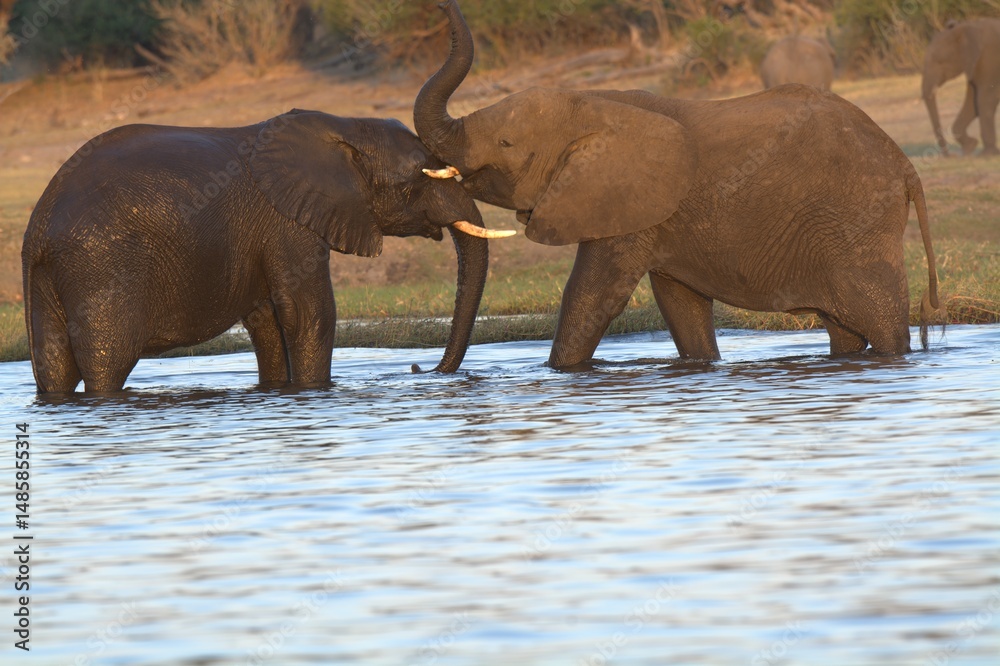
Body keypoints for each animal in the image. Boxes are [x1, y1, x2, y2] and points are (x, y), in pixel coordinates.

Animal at [22, 109, 511, 393]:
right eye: (421, 173)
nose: (417, 369)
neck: (344, 127)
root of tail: (39, 226)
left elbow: (268, 324)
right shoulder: (287, 223)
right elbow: (309, 314)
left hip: (53, 274)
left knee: (54, 363)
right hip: (101, 266)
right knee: (110, 357)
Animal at [414, 0, 941, 369]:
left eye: (505, 142)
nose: (437, 4)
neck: (590, 101)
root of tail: (904, 163)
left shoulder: (623, 203)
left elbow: (593, 296)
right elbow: (679, 305)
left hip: (857, 223)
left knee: (881, 320)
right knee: (845, 330)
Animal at [921, 18, 1000, 156]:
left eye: (939, 62)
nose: (951, 156)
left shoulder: (990, 59)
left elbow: (985, 100)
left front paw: (988, 155)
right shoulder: (973, 64)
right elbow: (973, 103)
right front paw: (970, 147)